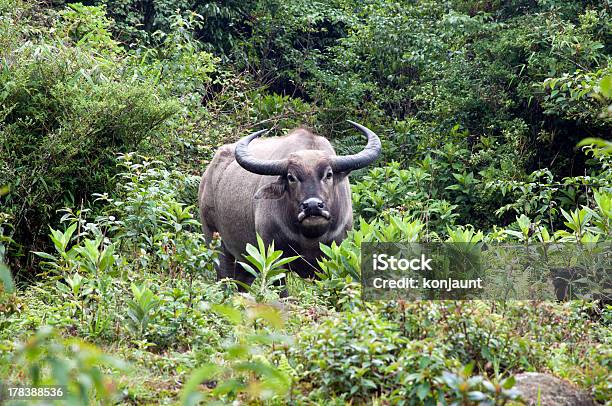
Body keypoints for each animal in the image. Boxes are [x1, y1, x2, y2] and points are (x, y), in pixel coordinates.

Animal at [198, 120, 380, 286]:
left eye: (328, 174)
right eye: (291, 177)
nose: (312, 206)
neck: (309, 237)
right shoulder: (272, 257)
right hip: (215, 243)